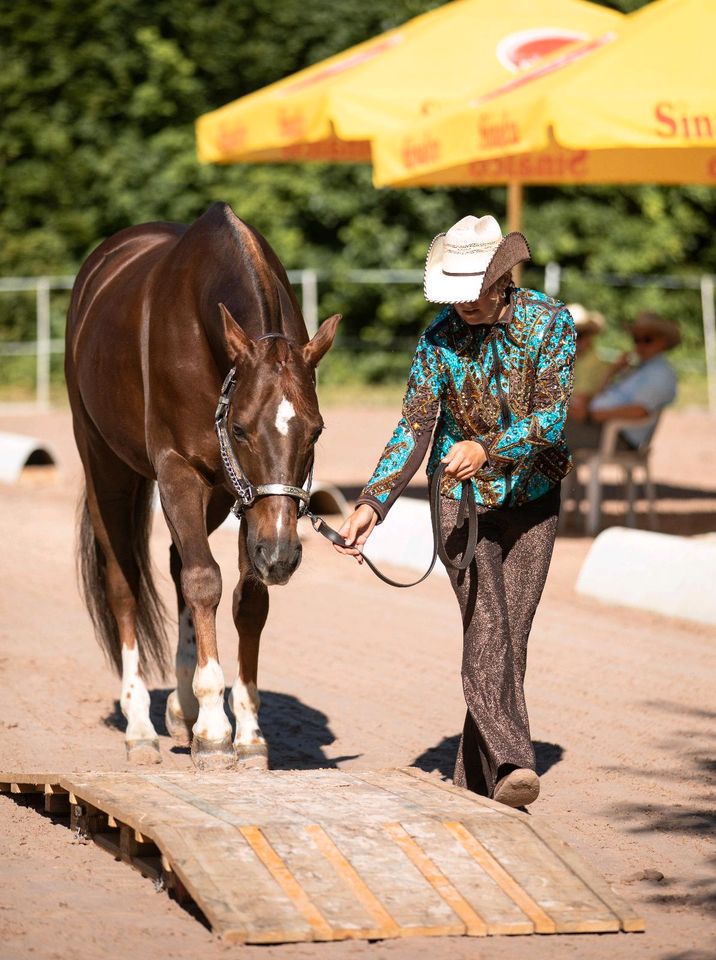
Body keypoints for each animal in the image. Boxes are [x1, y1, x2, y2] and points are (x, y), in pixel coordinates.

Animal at [64, 202, 338, 772]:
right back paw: (141, 725)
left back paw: (180, 708)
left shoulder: (248, 501)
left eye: (316, 431)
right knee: (125, 582)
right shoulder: (177, 471)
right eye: (241, 429)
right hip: (105, 464)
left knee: (175, 563)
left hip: (217, 496)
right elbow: (204, 580)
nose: (283, 556)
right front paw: (214, 729)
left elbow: (246, 599)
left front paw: (247, 732)